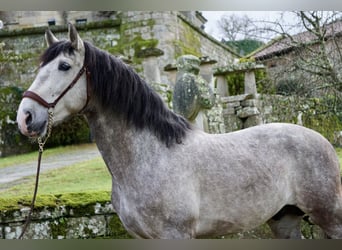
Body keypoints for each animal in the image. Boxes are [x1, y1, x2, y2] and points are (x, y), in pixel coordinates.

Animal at [16, 24, 342, 239]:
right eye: (40, 67)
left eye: (64, 66)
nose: (25, 117)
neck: (151, 156)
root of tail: (322, 140)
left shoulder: (176, 235)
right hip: (284, 220)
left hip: (330, 218)